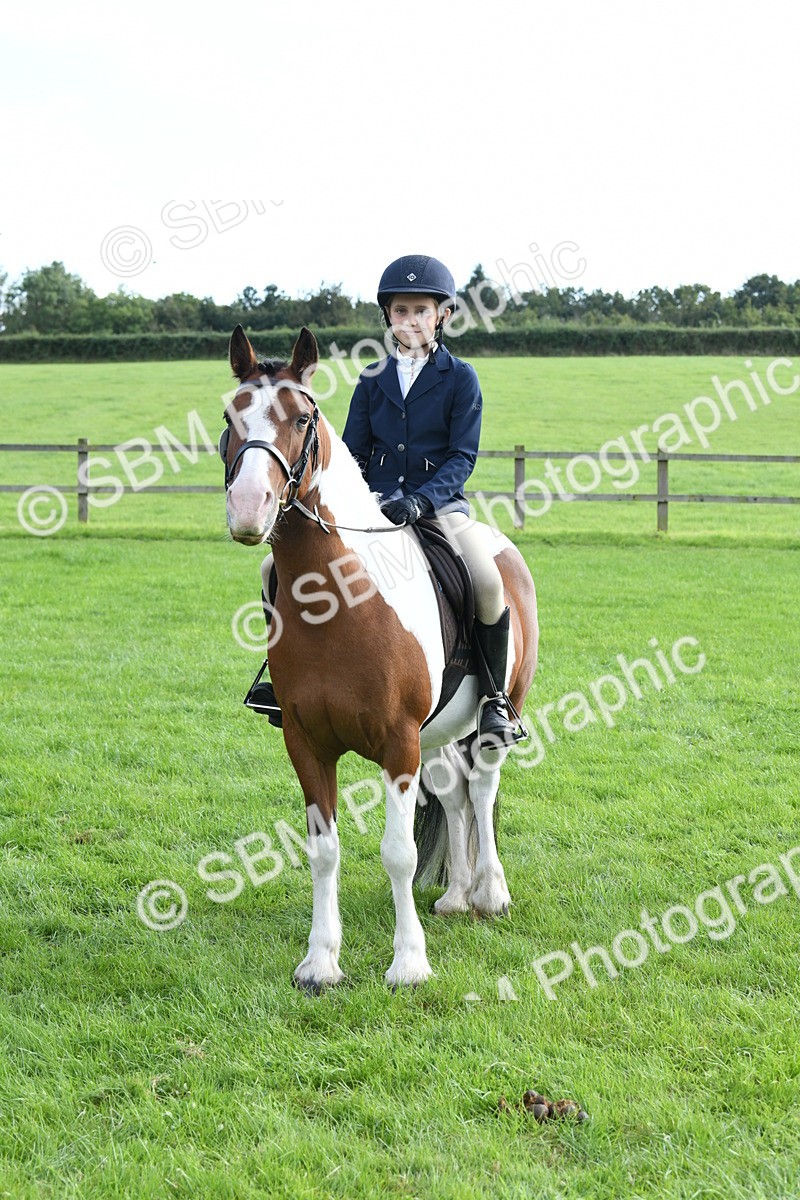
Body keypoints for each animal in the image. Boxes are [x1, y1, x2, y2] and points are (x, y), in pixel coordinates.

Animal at [221, 325, 539, 990]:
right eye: (231, 416)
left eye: (302, 418)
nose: (248, 507)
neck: (339, 600)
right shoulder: (308, 743)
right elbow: (323, 850)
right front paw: (320, 962)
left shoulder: (397, 743)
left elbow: (399, 853)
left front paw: (409, 964)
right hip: (438, 733)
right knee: (456, 792)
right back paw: (457, 896)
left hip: (493, 713)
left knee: (484, 786)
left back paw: (490, 894)